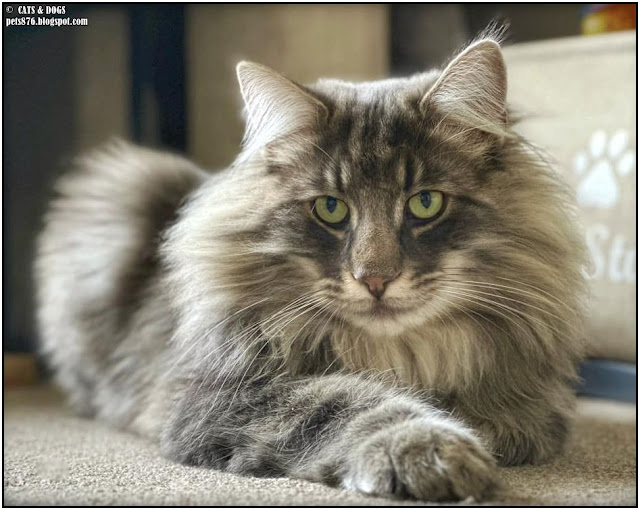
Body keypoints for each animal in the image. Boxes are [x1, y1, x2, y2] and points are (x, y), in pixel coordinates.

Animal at [33, 33, 584, 504]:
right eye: (331, 209)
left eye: (425, 203)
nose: (375, 279)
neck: (396, 355)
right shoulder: (222, 398)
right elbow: (346, 401)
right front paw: (431, 451)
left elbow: (522, 419)